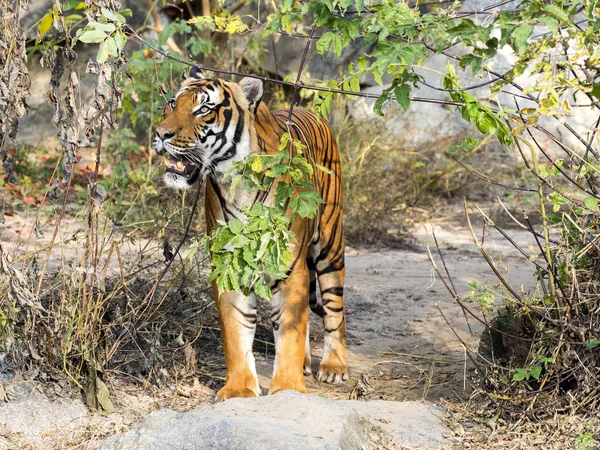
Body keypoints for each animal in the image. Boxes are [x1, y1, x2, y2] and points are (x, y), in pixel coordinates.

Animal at [154, 67, 346, 400]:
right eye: (172, 103)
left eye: (203, 109)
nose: (161, 133)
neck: (236, 181)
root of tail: (314, 114)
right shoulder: (229, 264)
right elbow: (236, 331)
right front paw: (239, 388)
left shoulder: (289, 267)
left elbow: (290, 332)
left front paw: (288, 388)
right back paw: (307, 363)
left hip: (330, 245)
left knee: (335, 309)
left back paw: (334, 366)